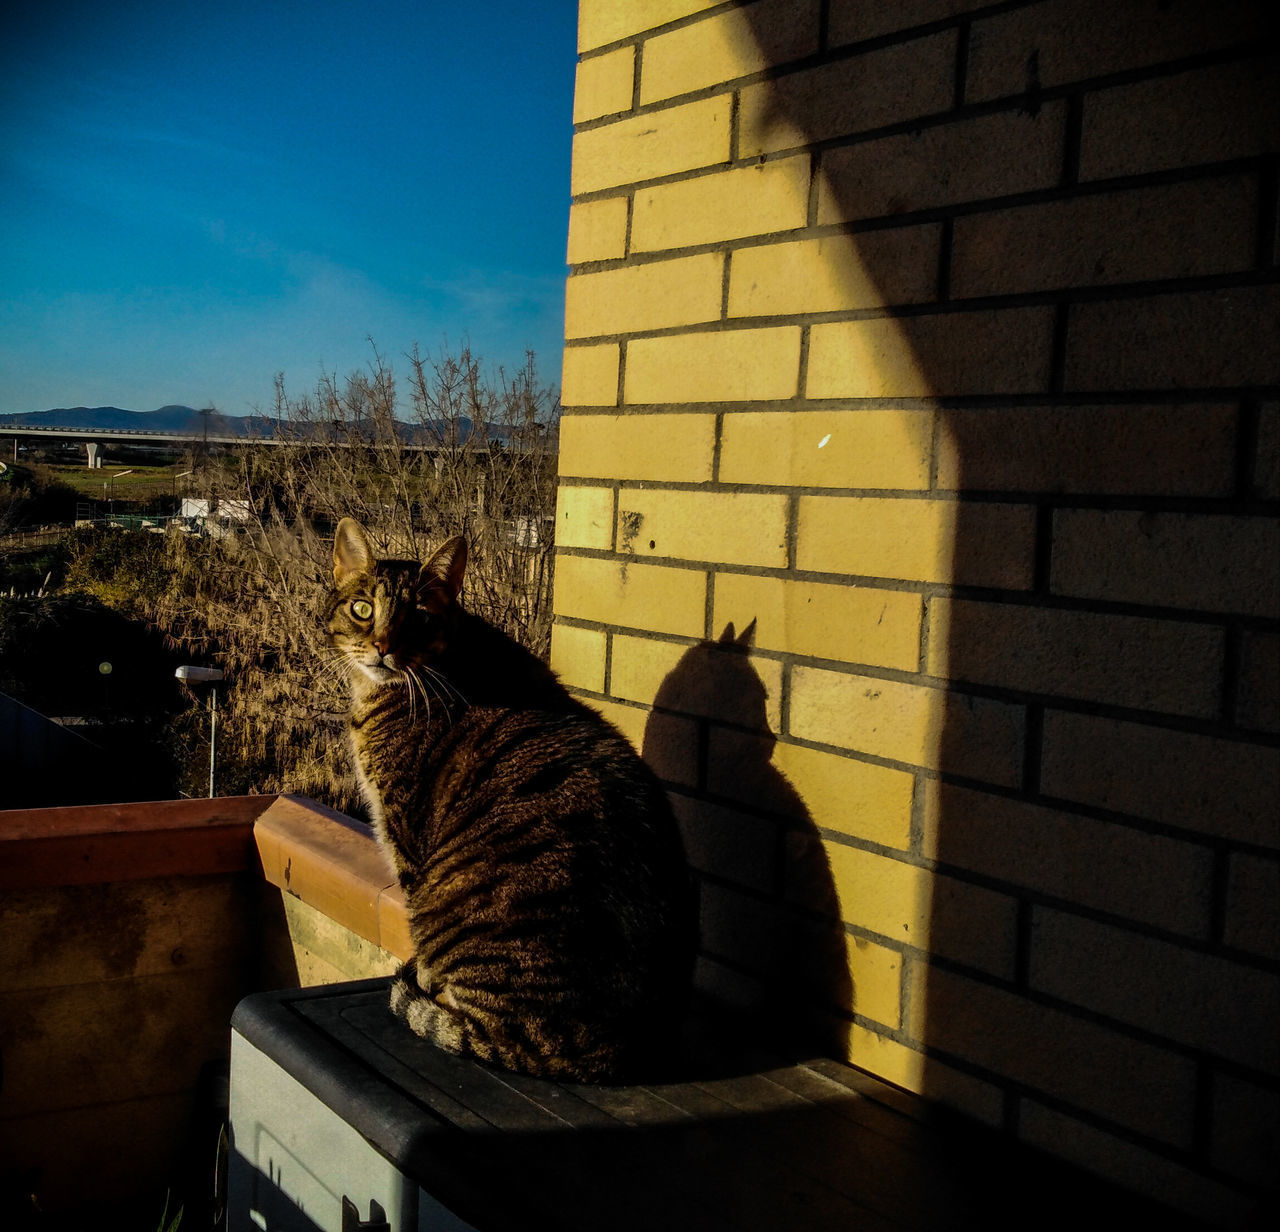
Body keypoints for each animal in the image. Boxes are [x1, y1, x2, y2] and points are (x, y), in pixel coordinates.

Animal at [325, 517, 696, 1075]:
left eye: (419, 618)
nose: (384, 647)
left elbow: (421, 949)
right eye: (363, 609)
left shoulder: (403, 834)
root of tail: (599, 1050)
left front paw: (423, 985)